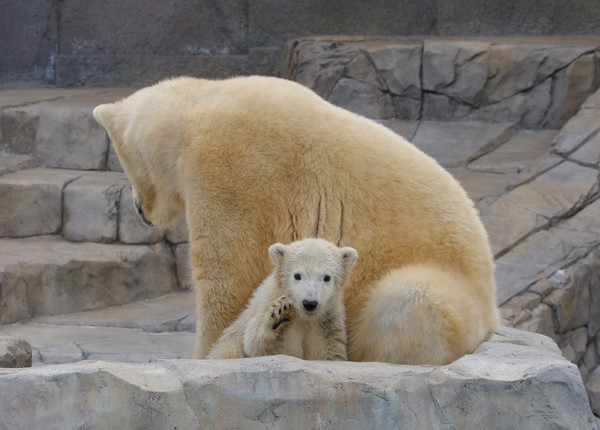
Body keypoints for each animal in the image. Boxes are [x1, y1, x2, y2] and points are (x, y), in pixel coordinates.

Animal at [92, 75, 496, 364]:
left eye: (124, 163)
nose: (138, 209)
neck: (199, 105)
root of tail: (493, 311)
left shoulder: (230, 169)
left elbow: (228, 276)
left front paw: (205, 355)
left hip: (454, 296)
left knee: (406, 301)